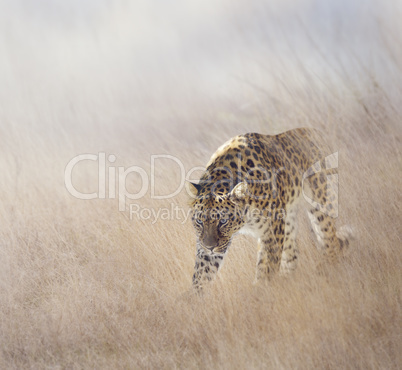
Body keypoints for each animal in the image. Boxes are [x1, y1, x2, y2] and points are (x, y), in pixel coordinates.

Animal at [187, 127, 350, 292]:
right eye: (199, 221)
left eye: (223, 221)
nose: (210, 247)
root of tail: (311, 131)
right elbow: (202, 273)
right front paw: (195, 296)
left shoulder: (271, 233)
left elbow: (266, 268)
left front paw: (261, 292)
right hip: (288, 220)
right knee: (292, 254)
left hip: (319, 201)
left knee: (329, 240)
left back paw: (330, 271)